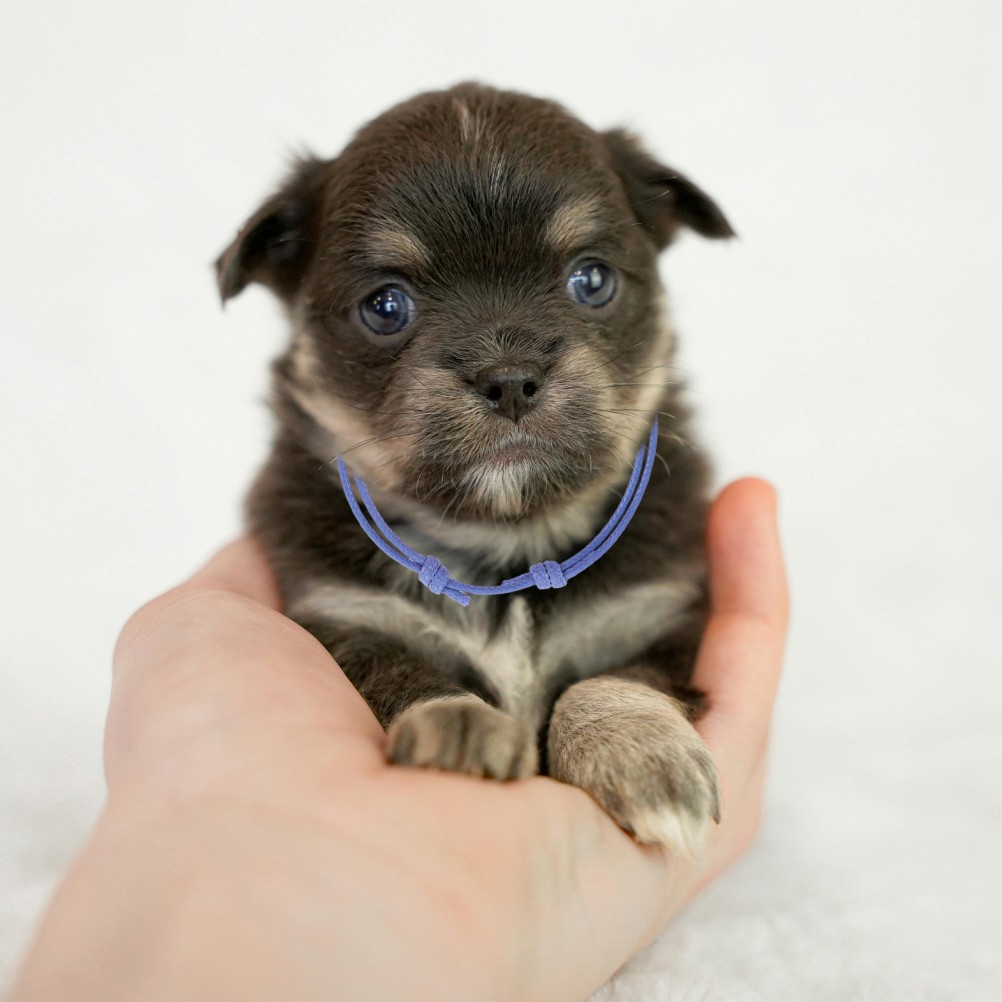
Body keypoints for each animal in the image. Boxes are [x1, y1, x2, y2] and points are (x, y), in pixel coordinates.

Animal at [216, 83, 734, 855]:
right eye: (386, 306)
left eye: (592, 280)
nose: (509, 378)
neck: (505, 539)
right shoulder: (346, 620)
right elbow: (402, 674)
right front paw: (458, 729)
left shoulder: (652, 620)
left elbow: (619, 680)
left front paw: (644, 753)